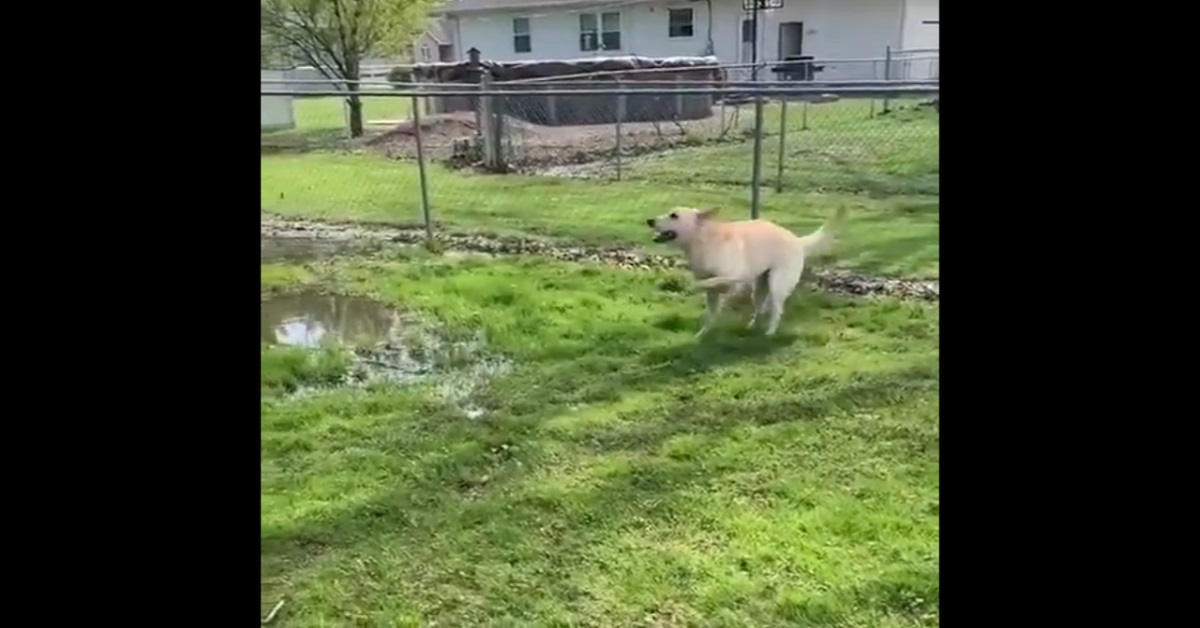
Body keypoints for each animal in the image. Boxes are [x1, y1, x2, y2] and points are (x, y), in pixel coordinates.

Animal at [648, 207, 844, 338]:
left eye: (674, 215)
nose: (649, 221)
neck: (704, 240)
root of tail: (797, 240)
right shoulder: (713, 295)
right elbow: (710, 313)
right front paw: (702, 334)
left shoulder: (734, 279)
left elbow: (709, 282)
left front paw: (690, 286)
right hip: (759, 289)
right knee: (760, 308)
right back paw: (752, 326)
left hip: (777, 285)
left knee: (777, 310)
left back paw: (770, 332)